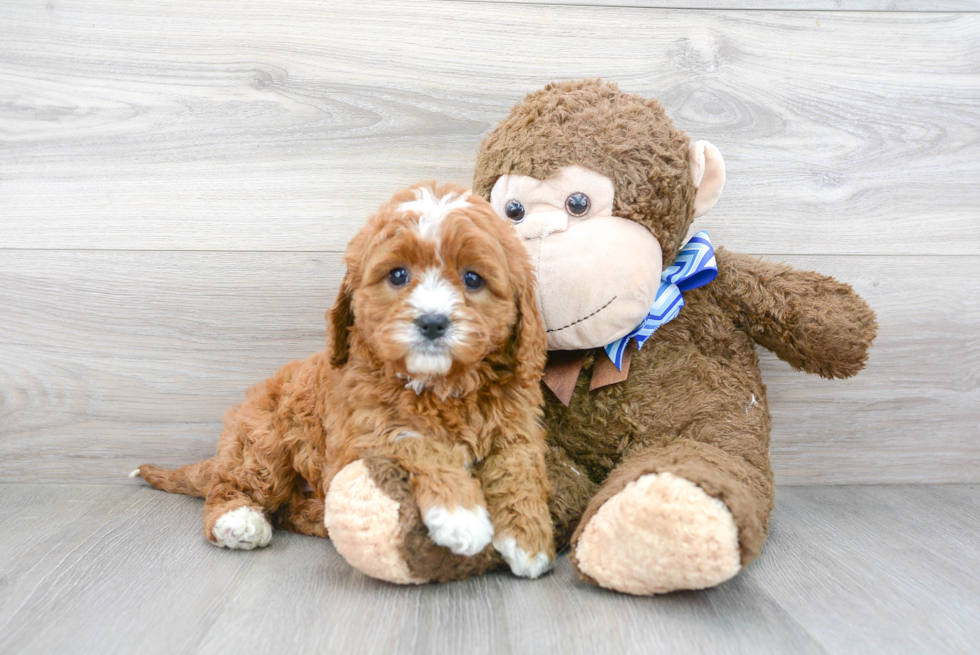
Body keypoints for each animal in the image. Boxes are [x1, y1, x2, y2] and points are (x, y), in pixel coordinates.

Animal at [133, 183, 556, 580]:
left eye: (472, 278)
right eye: (398, 275)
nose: (433, 322)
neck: (440, 386)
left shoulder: (517, 427)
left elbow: (519, 469)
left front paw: (528, 539)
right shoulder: (364, 432)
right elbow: (418, 444)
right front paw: (461, 514)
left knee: (288, 509)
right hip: (261, 440)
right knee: (235, 484)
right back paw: (238, 520)